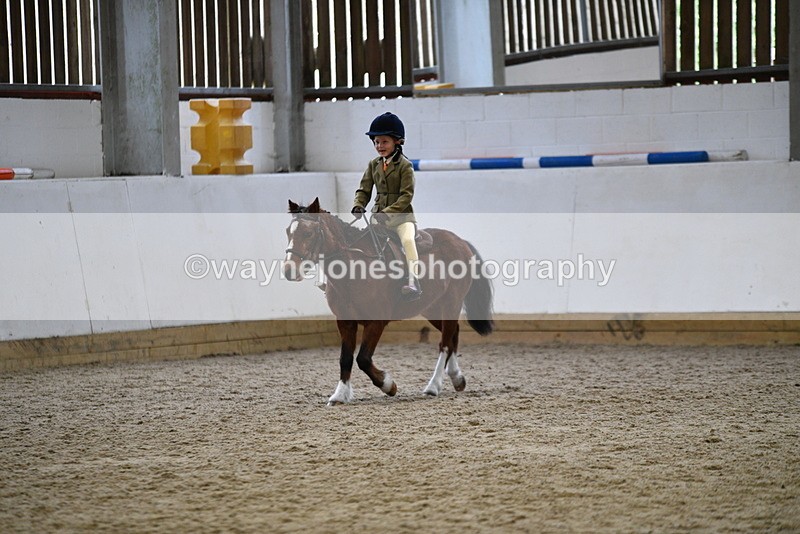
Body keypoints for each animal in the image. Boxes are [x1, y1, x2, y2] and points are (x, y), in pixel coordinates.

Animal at [284, 197, 494, 406]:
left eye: (308, 233)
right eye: (288, 232)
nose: (289, 271)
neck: (354, 268)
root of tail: (460, 241)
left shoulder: (376, 322)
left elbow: (363, 359)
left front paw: (388, 385)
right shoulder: (345, 322)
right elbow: (346, 358)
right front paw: (340, 394)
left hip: (451, 303)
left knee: (445, 343)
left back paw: (433, 386)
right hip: (432, 307)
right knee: (453, 334)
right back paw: (456, 378)